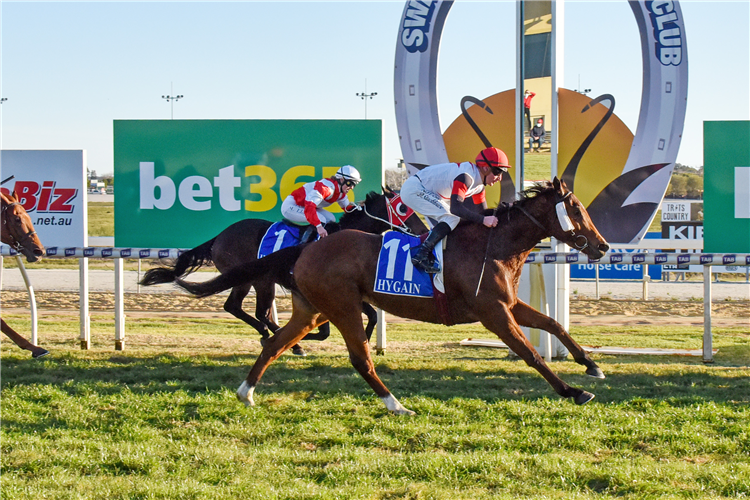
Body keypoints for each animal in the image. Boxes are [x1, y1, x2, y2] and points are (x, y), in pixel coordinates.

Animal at [138, 188, 426, 356]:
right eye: (404, 208)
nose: (423, 231)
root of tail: (219, 236)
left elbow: (370, 316)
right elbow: (325, 330)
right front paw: (302, 339)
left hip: (256, 280)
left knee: (244, 309)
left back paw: (277, 338)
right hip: (257, 279)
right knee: (249, 310)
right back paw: (283, 340)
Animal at [178, 180, 612, 414]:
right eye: (576, 208)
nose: (603, 246)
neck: (494, 245)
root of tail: (306, 247)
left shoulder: (507, 305)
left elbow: (552, 323)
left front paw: (591, 365)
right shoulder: (493, 313)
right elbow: (531, 354)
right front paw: (574, 391)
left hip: (311, 310)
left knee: (276, 343)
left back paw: (248, 391)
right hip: (340, 306)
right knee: (358, 358)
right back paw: (396, 404)